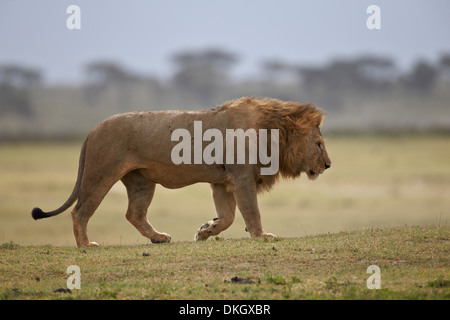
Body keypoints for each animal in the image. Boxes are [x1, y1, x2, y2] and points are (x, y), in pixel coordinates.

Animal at [30, 97, 330, 248]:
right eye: (319, 144)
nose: (328, 165)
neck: (273, 131)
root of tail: (91, 130)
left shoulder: (222, 182)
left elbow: (228, 216)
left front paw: (205, 231)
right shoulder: (242, 176)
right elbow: (251, 212)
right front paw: (262, 237)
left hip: (141, 181)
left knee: (134, 214)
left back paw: (159, 238)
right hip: (100, 175)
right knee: (79, 212)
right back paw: (86, 244)